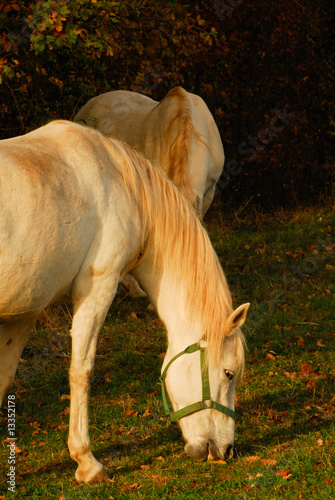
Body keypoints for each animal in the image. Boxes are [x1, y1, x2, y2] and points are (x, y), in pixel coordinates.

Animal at [0, 121, 249, 484]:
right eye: (229, 374)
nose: (226, 450)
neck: (122, 183)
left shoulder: (23, 312)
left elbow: (4, 378)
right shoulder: (99, 287)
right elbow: (82, 370)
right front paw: (86, 462)